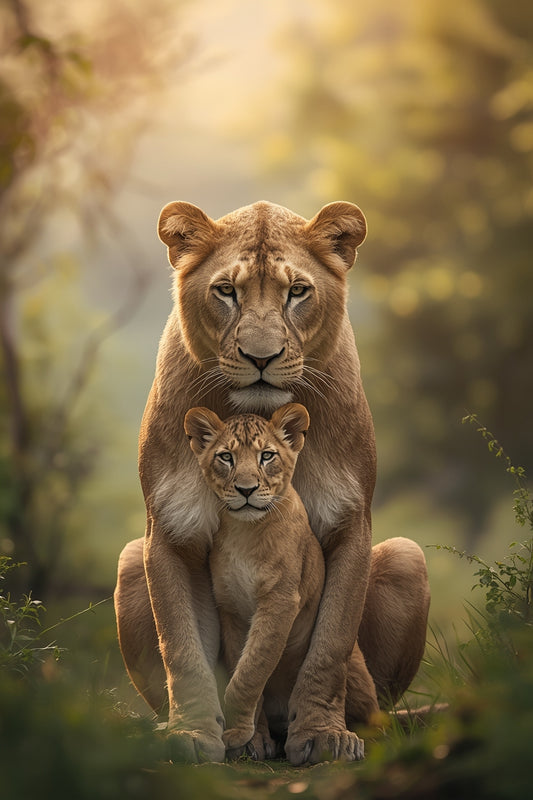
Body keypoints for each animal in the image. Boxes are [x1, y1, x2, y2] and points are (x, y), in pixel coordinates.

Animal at [114, 199, 430, 765]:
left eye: (297, 291)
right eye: (226, 291)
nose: (261, 358)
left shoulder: (350, 523)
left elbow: (328, 648)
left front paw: (324, 735)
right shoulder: (170, 530)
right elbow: (184, 649)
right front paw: (198, 734)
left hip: (406, 557)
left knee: (372, 701)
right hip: (130, 560)